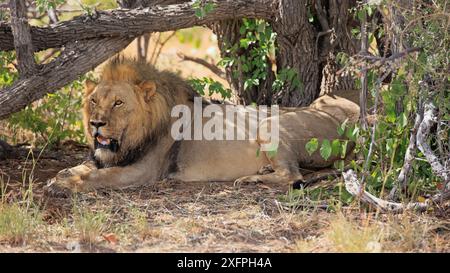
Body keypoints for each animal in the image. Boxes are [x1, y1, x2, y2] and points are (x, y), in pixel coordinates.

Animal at [45, 56, 360, 193]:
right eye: (94, 101)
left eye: (119, 103)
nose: (96, 124)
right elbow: (78, 168)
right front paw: (58, 178)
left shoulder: (141, 172)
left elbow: (96, 177)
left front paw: (63, 186)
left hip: (270, 125)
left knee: (293, 175)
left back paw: (251, 178)